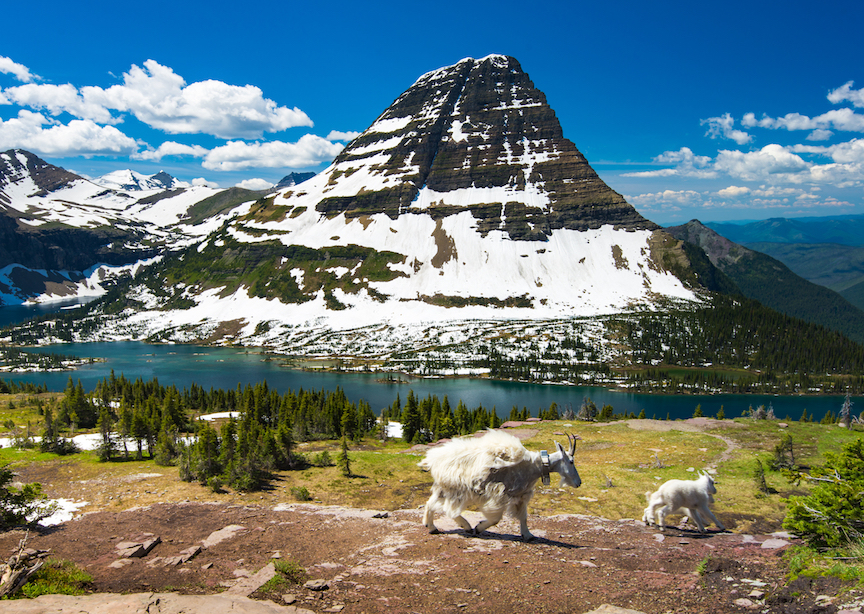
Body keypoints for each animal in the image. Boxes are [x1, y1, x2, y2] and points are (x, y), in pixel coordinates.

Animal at [418, 430, 580, 540]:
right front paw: (479, 527)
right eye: (571, 461)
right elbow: (496, 518)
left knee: (430, 503)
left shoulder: (521, 495)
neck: (534, 466)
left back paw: (432, 527)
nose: (578, 483)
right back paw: (467, 526)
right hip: (456, 489)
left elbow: (523, 517)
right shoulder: (499, 493)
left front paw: (528, 535)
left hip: (443, 488)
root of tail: (433, 459)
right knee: (449, 509)